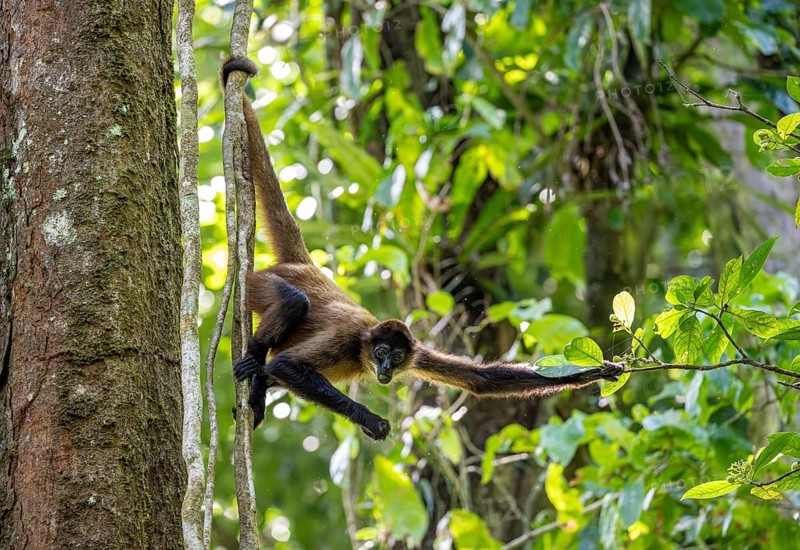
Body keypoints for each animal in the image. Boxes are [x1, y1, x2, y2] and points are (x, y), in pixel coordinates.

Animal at [222, 58, 623, 440]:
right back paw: (254, 367)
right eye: (382, 353)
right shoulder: (344, 340)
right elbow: (285, 365)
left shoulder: (418, 352)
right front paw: (370, 419)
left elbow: (482, 380)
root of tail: (303, 265)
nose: (386, 368)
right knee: (293, 303)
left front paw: (595, 371)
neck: (362, 350)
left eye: (397, 357)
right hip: (258, 283)